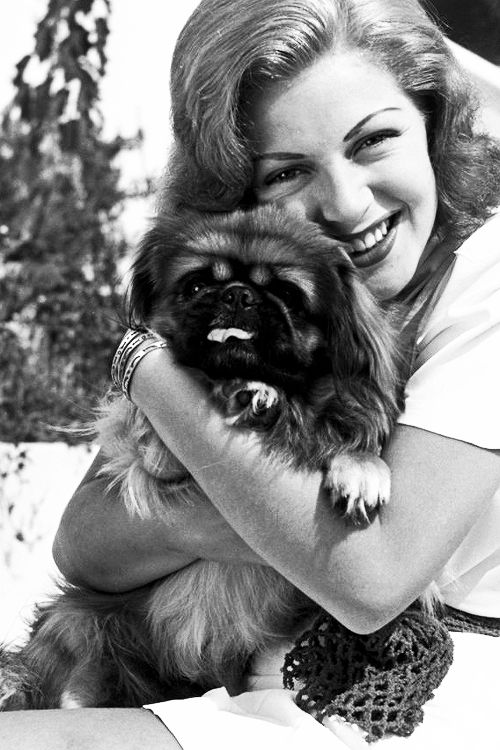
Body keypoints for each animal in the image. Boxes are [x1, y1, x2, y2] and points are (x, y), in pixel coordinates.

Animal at [0, 204, 404, 712]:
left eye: (288, 294)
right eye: (195, 285)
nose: (238, 295)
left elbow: (345, 440)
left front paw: (362, 469)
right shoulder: (150, 456)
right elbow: (157, 444)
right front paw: (251, 395)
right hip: (77, 627)